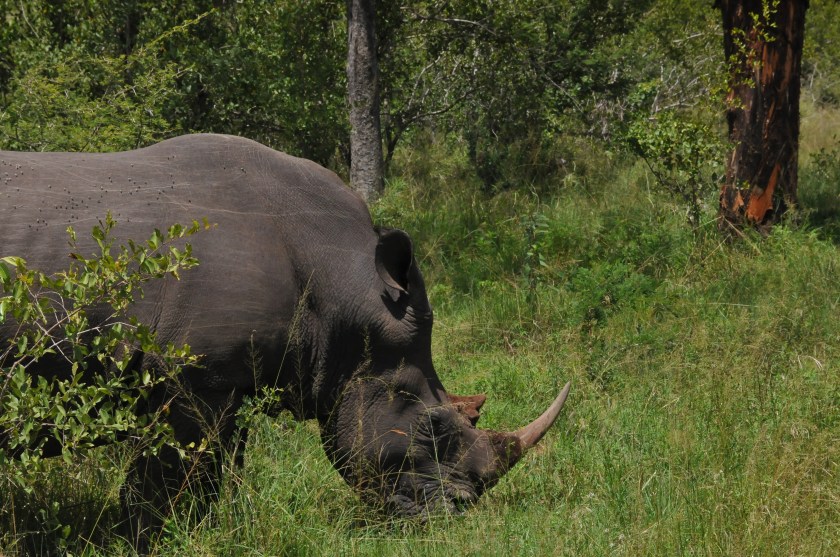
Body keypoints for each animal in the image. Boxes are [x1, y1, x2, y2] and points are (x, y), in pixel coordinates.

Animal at [0, 134, 569, 542]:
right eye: (432, 425)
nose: (454, 516)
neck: (346, 288)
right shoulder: (193, 375)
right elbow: (169, 483)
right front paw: (151, 540)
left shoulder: (230, 380)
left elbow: (214, 474)